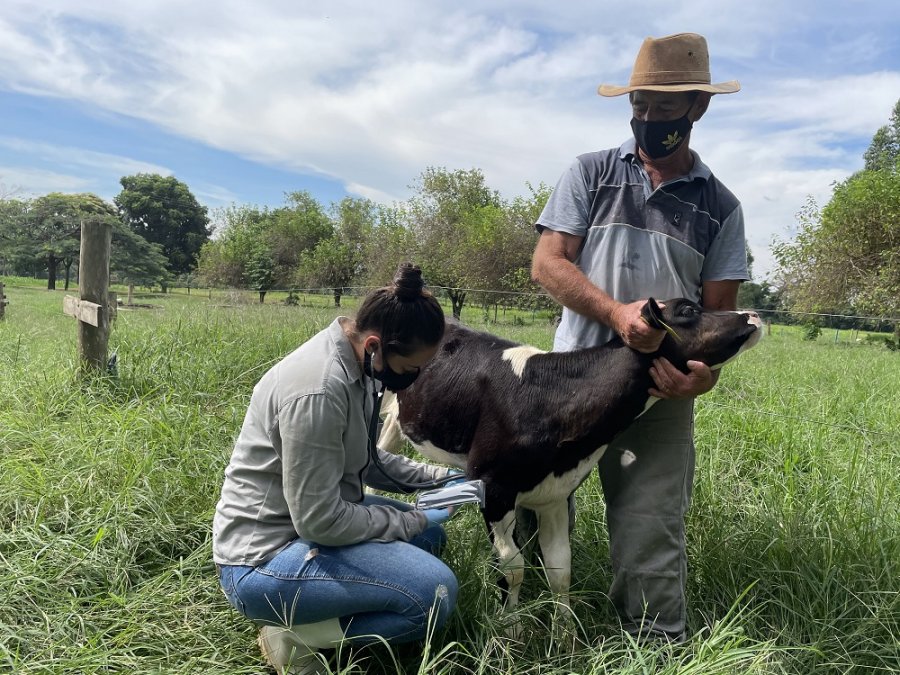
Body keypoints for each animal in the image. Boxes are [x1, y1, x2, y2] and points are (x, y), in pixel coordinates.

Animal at [376, 298, 764, 620]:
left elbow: (560, 570)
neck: (553, 396)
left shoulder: (556, 493)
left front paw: (565, 636)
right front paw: (509, 631)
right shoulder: (495, 488)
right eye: (687, 310)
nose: (753, 314)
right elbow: (512, 568)